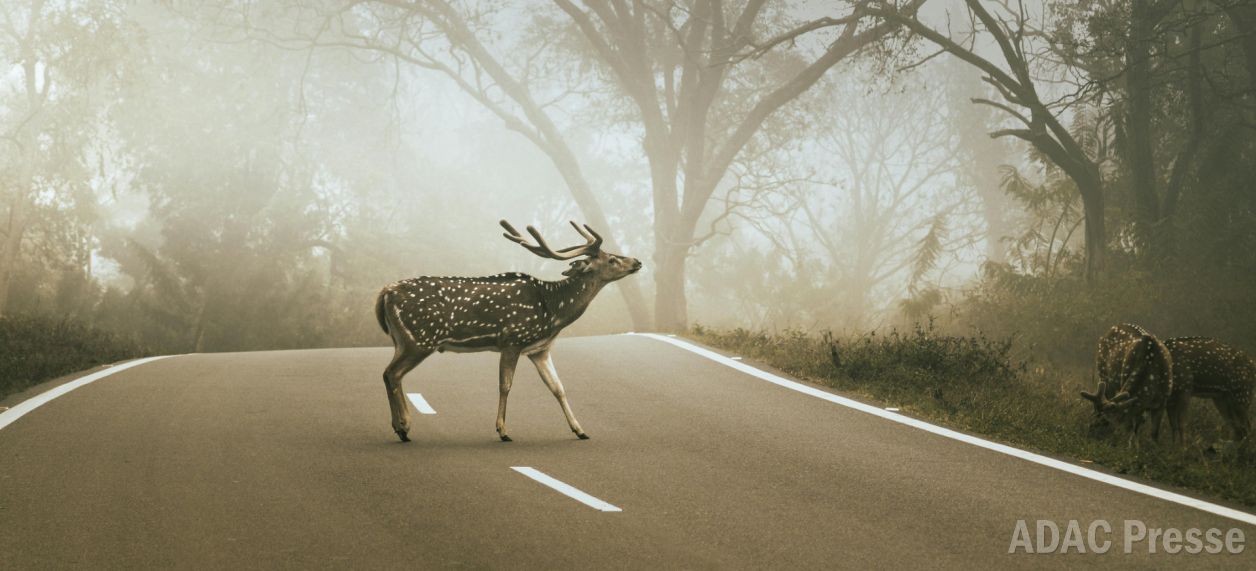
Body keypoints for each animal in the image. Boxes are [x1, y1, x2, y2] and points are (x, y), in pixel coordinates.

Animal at [373, 220, 641, 443]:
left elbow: (558, 387)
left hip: (403, 339)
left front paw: (580, 430)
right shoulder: (512, 339)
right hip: (421, 338)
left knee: (388, 373)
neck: (552, 310)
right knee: (393, 373)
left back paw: (400, 427)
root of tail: (385, 292)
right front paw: (502, 431)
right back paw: (404, 427)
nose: (638, 261)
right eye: (612, 259)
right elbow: (506, 385)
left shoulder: (539, 349)